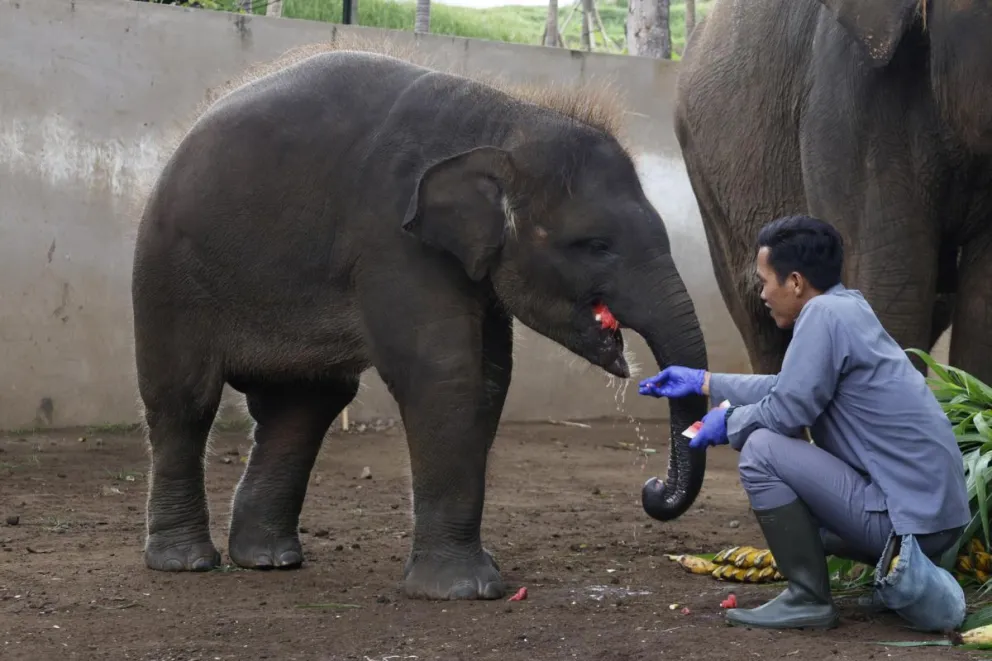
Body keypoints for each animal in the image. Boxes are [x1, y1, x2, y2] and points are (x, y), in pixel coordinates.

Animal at [130, 47, 710, 601]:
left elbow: (490, 378)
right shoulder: (393, 240)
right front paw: (464, 591)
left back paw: (270, 559)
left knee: (304, 407)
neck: (506, 120)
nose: (651, 489)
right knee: (185, 400)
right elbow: (442, 373)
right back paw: (186, 563)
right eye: (595, 245)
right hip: (167, 276)